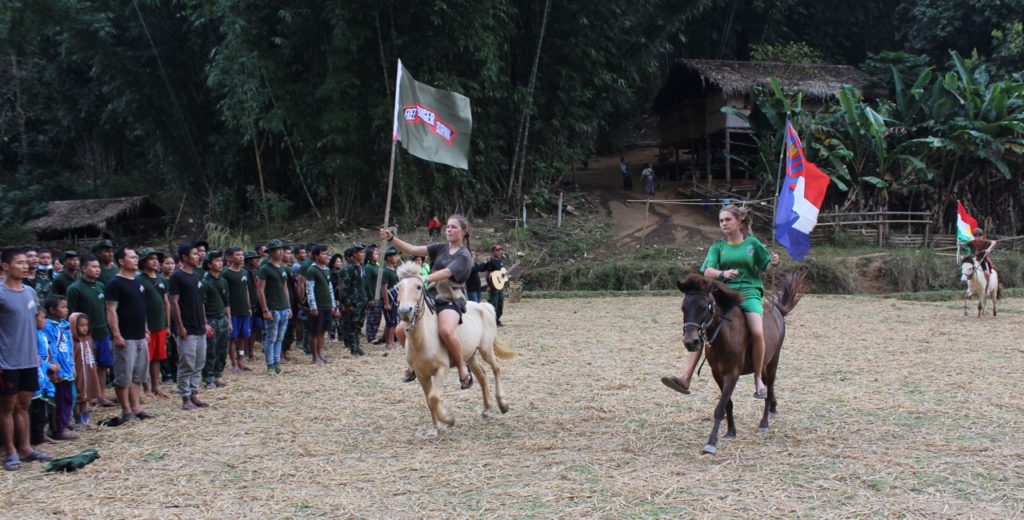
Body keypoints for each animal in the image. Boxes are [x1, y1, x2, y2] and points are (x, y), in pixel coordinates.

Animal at [395, 260, 516, 434]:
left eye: (418, 287)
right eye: (398, 288)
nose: (405, 311)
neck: (423, 341)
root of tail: (484, 306)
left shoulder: (442, 369)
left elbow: (433, 398)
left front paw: (448, 420)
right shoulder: (422, 375)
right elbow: (428, 400)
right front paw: (436, 428)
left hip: (485, 349)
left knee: (497, 369)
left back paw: (502, 404)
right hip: (470, 356)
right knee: (482, 376)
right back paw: (486, 409)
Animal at [679, 272, 806, 454]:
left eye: (704, 307)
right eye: (683, 308)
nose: (691, 342)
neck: (725, 336)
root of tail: (777, 310)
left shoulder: (732, 374)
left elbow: (720, 407)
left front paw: (711, 442)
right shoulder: (717, 374)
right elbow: (728, 404)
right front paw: (731, 431)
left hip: (772, 361)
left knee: (768, 388)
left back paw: (764, 422)